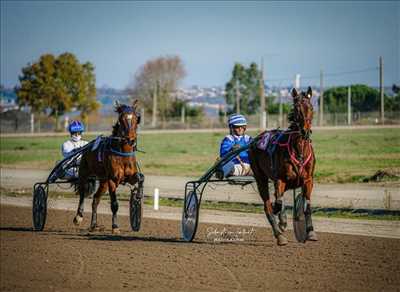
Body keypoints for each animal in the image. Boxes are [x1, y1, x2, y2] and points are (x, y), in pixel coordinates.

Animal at [72, 101, 144, 234]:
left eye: (136, 118)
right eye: (121, 119)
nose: (130, 139)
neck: (123, 154)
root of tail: (87, 147)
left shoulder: (130, 177)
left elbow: (140, 177)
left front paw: (139, 194)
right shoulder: (112, 180)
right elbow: (114, 204)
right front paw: (115, 227)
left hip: (103, 182)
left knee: (95, 199)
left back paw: (94, 225)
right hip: (84, 174)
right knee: (82, 194)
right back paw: (78, 217)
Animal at [248, 87, 318, 246]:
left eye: (311, 107)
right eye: (297, 108)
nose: (305, 131)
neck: (299, 151)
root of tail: (255, 140)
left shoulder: (308, 180)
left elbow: (307, 205)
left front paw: (310, 232)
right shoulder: (280, 179)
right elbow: (278, 203)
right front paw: (282, 222)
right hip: (260, 178)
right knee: (268, 205)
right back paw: (279, 234)